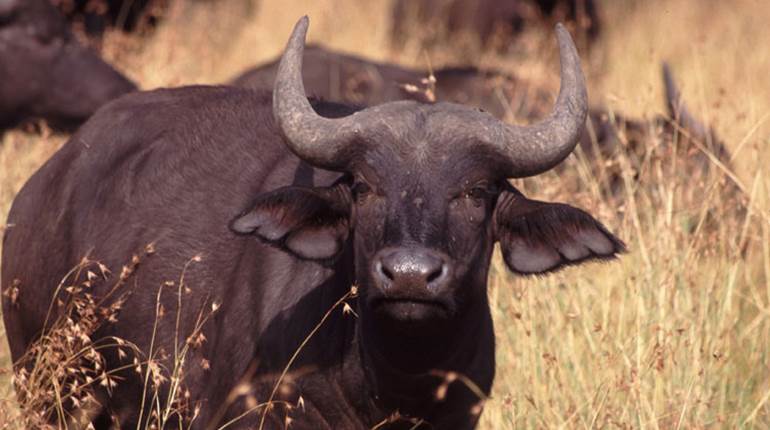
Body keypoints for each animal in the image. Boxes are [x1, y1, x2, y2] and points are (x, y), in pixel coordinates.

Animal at [2, 17, 623, 428]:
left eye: (476, 192)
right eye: (366, 188)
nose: (410, 276)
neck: (393, 385)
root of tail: (43, 188)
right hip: (49, 389)